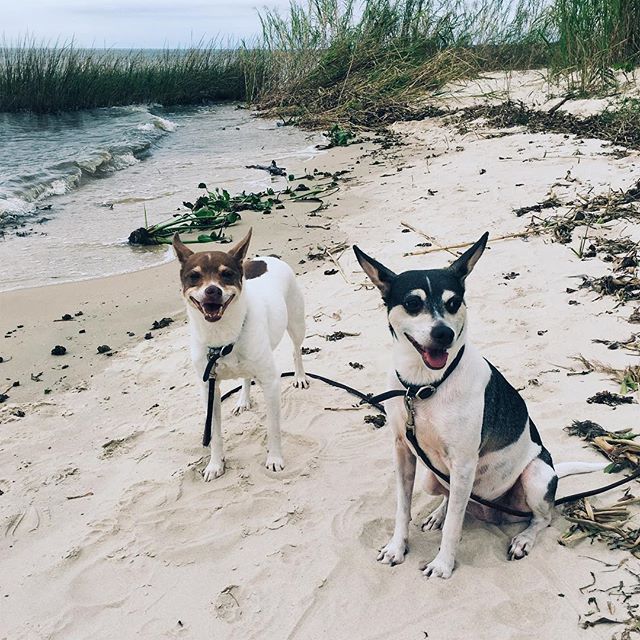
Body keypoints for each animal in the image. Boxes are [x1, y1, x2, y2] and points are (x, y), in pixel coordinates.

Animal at [172, 230, 308, 480]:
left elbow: (273, 428)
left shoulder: (271, 383)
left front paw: (275, 459)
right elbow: (215, 434)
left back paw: (300, 377)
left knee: (296, 350)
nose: (212, 290)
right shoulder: (209, 390)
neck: (222, 338)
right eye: (194, 276)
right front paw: (215, 464)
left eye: (226, 274)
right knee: (246, 376)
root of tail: (268, 258)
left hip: (296, 323)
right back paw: (243, 399)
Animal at [356, 234, 604, 580]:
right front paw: (397, 547)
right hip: (433, 478)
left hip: (536, 476)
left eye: (453, 303)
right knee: (451, 498)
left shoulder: (463, 462)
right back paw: (439, 513)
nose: (443, 333)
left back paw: (524, 538)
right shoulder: (404, 451)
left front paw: (443, 564)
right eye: (413, 303)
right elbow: (402, 509)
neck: (425, 386)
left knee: (542, 518)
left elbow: (454, 528)